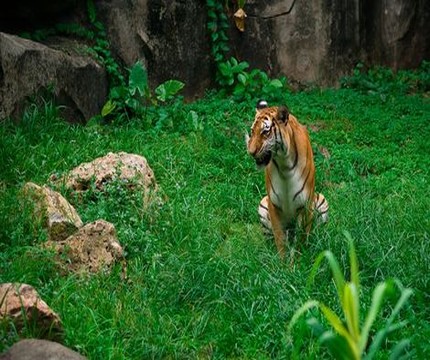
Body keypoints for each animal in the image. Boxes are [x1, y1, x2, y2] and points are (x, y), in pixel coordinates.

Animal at [247, 100, 328, 260]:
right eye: (252, 132)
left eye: (265, 132)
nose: (251, 152)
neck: (284, 163)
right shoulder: (273, 204)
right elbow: (279, 238)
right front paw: (282, 262)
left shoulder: (305, 204)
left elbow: (301, 239)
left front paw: (298, 261)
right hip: (262, 205)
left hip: (322, 202)